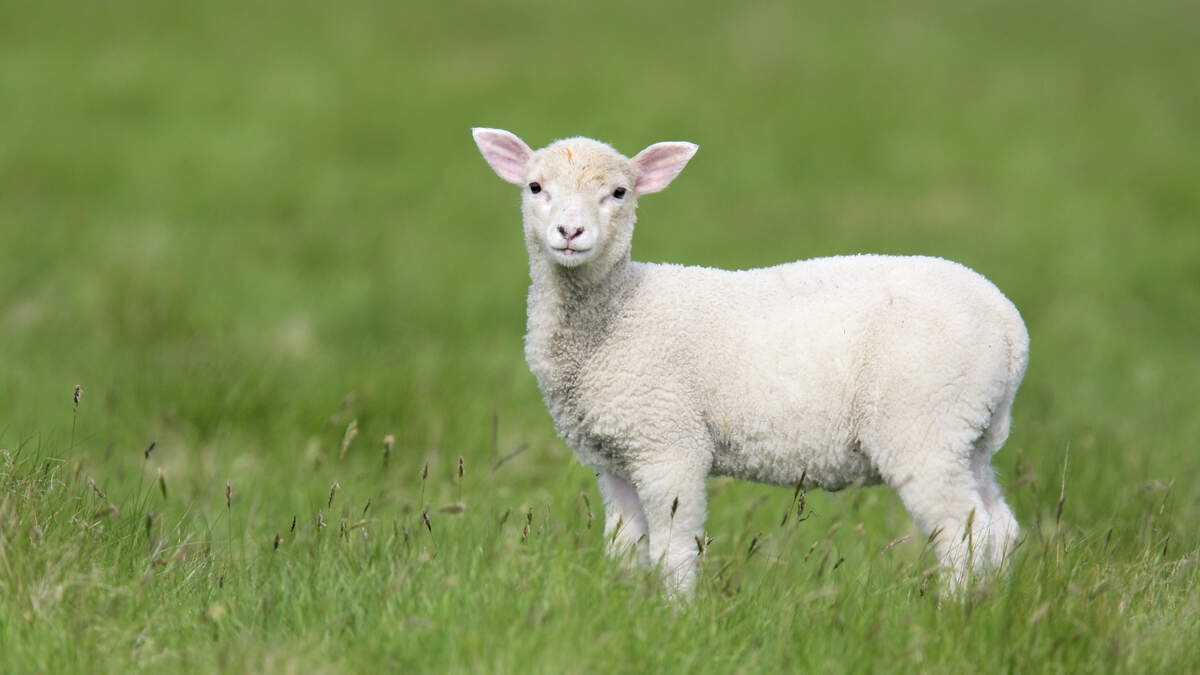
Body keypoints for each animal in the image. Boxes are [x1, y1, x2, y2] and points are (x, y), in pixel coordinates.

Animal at [472, 127, 1030, 596]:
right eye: (535, 187)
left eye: (619, 193)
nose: (570, 232)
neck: (620, 310)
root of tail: (1006, 320)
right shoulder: (615, 457)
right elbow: (624, 548)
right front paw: (624, 605)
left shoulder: (669, 443)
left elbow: (673, 550)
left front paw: (676, 616)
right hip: (971, 431)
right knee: (1000, 527)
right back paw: (990, 606)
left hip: (923, 423)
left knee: (963, 533)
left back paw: (951, 612)